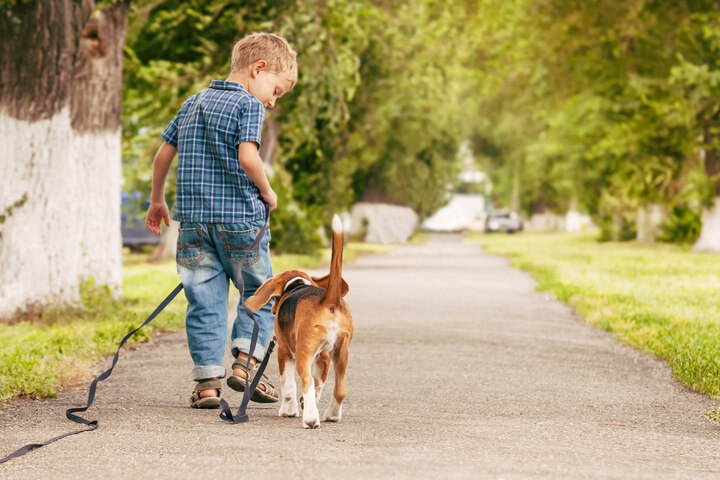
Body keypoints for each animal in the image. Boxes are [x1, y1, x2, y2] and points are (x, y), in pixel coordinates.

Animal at [248, 214, 354, 428]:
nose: (273, 309)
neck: (296, 285)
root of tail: (328, 300)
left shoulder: (283, 351)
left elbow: (289, 385)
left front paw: (289, 410)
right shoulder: (323, 357)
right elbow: (319, 384)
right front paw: (305, 402)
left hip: (303, 353)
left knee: (306, 380)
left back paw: (311, 419)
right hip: (341, 353)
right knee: (339, 390)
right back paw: (330, 414)